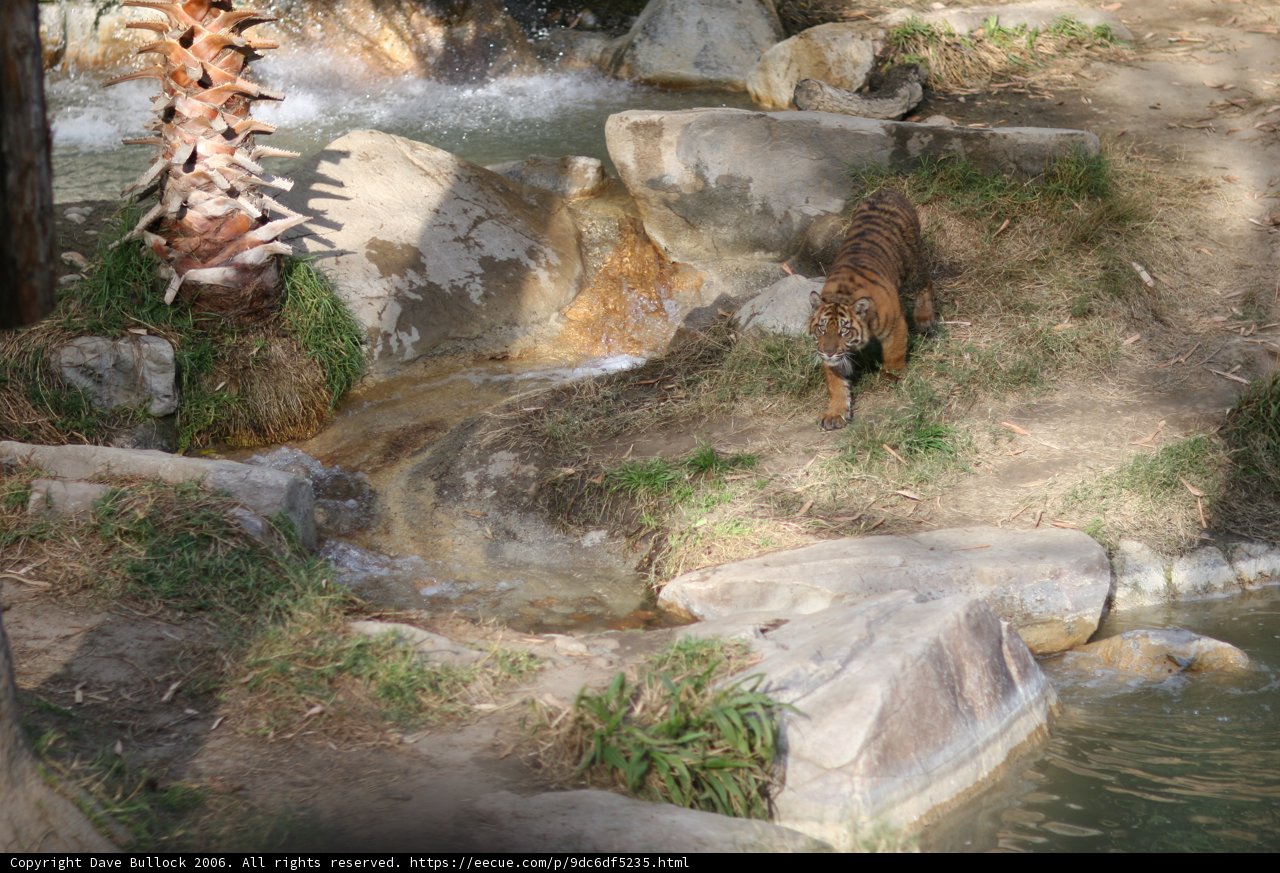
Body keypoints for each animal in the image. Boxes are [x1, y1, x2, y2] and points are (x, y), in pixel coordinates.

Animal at [808, 189, 937, 431]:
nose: (828, 352)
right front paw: (835, 413)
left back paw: (924, 319)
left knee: (925, 283)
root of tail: (886, 191)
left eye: (844, 331)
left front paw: (892, 376)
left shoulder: (895, 324)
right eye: (822, 329)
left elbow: (895, 354)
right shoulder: (832, 356)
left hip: (913, 263)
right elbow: (836, 384)